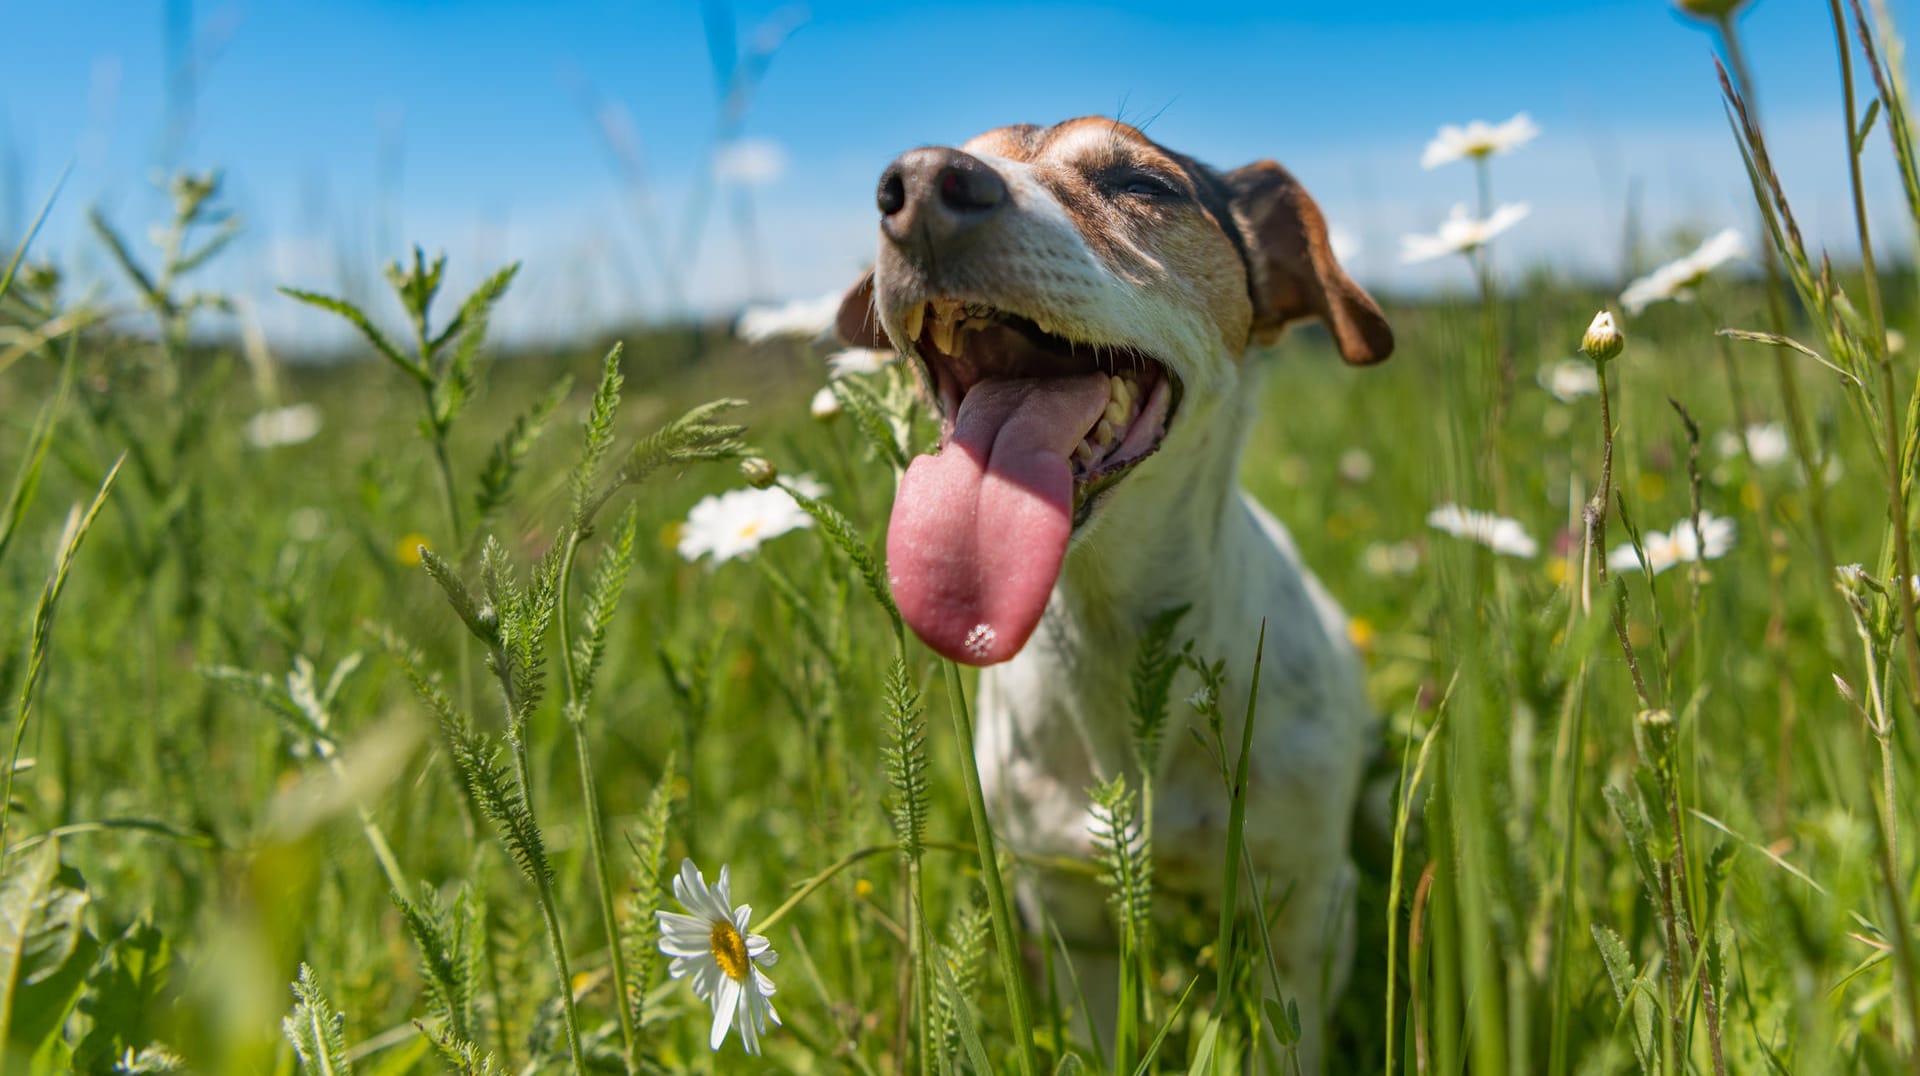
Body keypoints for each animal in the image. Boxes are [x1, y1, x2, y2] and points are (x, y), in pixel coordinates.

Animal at [833, 119, 1390, 1068]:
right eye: (894, 184)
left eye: (1141, 183)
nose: (918, 185)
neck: (1116, 636)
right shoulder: (1073, 918)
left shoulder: (1305, 911)